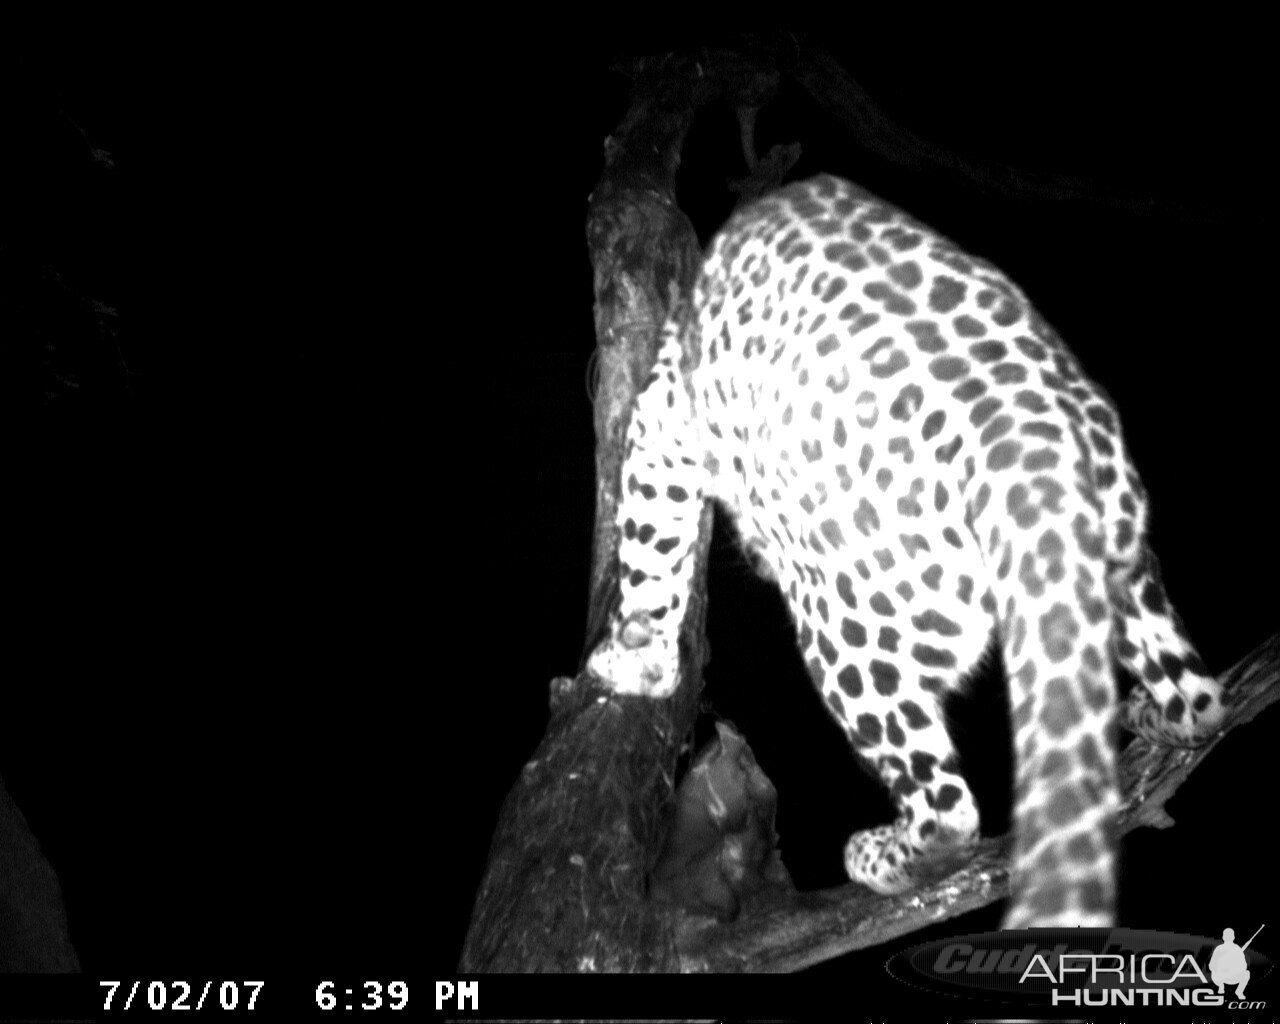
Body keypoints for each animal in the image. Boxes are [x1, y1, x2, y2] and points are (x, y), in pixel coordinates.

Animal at [586, 171, 1223, 921]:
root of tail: (1033, 458)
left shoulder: (665, 422)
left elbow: (647, 545)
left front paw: (633, 659)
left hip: (850, 628)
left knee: (948, 809)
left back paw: (880, 857)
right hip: (1120, 575)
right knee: (1202, 701)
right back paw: (1153, 716)